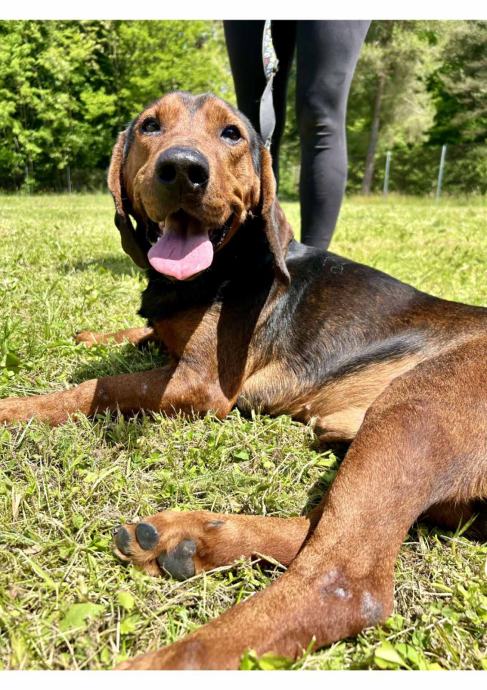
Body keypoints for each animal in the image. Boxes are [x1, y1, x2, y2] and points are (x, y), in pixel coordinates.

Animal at [0, 92, 487, 668]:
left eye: (232, 132)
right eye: (150, 125)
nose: (182, 169)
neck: (222, 263)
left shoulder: (202, 385)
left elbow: (97, 388)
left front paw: (15, 408)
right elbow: (136, 336)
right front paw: (92, 336)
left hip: (415, 407)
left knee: (342, 577)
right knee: (320, 530)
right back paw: (190, 539)